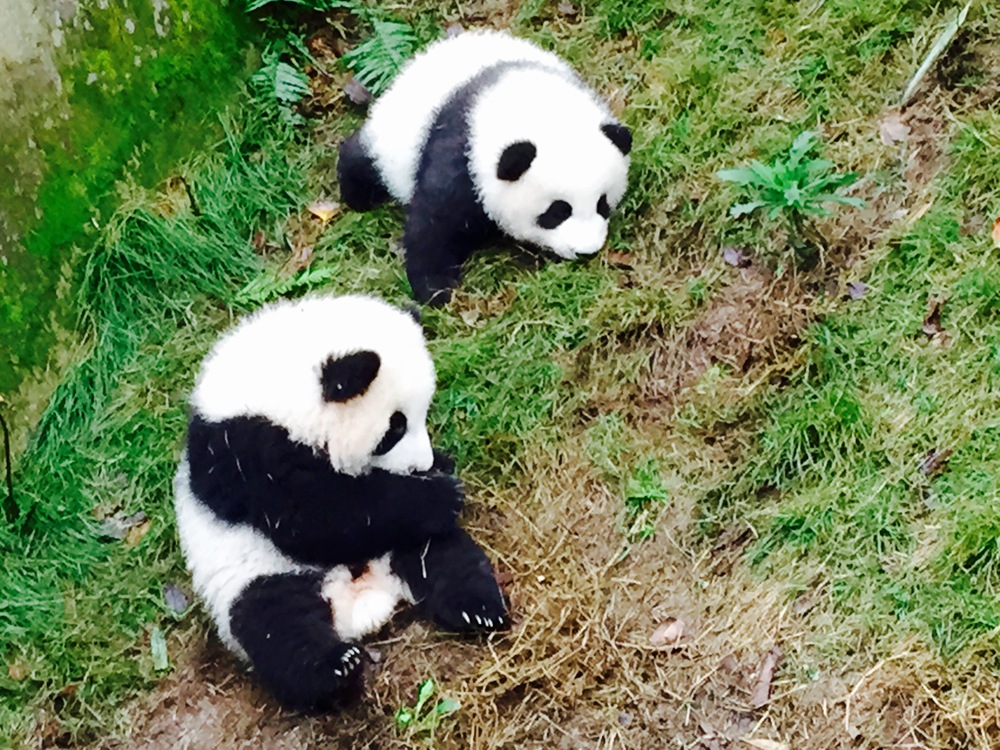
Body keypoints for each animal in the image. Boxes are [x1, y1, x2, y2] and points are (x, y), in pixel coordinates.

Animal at [173, 294, 507, 710]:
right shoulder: (245, 451)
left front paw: (441, 470)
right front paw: (439, 494)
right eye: (395, 428)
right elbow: (311, 517)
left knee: (444, 556)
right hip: (258, 574)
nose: (421, 466)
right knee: (276, 624)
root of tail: (363, 598)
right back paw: (334, 668)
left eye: (423, 416)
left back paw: (478, 607)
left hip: (400, 545)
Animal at [337, 29, 632, 304]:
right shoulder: (461, 154)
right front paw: (436, 289)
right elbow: (435, 222)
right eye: (557, 211)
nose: (586, 251)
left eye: (602, 204)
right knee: (366, 160)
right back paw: (357, 193)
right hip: (392, 137)